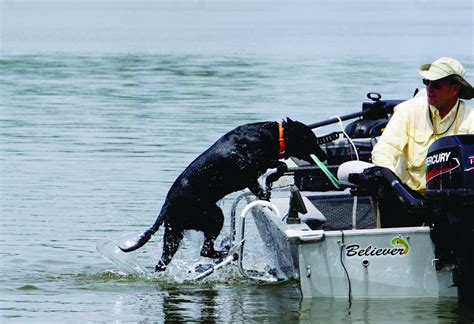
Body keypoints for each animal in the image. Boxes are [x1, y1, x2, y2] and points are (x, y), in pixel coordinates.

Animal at [119, 118, 326, 270]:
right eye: (311, 139)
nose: (324, 156)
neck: (271, 135)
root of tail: (167, 204)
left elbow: (276, 171)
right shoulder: (250, 172)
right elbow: (279, 167)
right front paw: (267, 190)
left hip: (173, 236)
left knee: (164, 263)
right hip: (215, 216)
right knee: (205, 250)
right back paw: (227, 252)